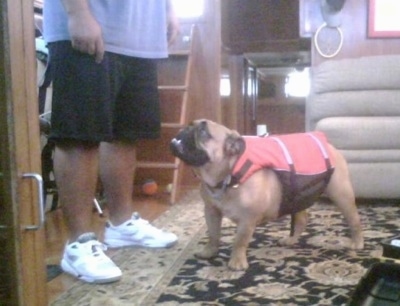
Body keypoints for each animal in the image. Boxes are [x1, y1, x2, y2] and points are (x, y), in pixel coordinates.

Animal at [170, 119, 364, 270]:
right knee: (301, 219)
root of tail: (330, 146)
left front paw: (236, 261)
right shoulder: (211, 211)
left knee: (354, 219)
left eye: (204, 132)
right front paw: (209, 251)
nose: (185, 130)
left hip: (341, 194)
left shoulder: (247, 220)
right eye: (190, 125)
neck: (226, 178)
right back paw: (291, 240)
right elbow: (213, 234)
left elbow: (239, 241)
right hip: (297, 196)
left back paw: (357, 242)